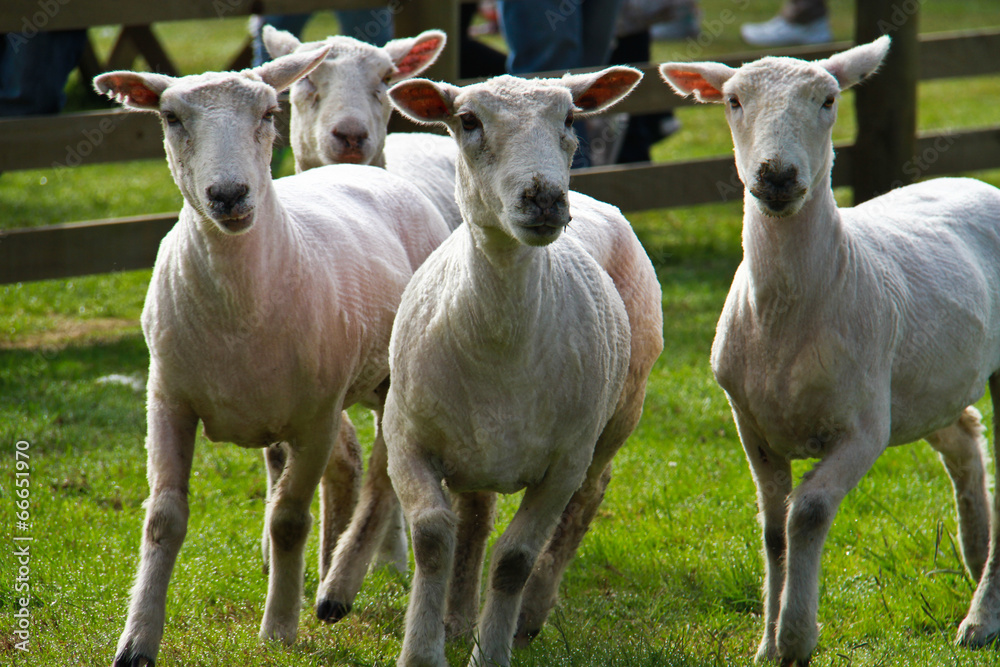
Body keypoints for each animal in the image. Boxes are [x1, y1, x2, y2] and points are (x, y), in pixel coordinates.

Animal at [94, 48, 451, 666]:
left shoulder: (314, 417)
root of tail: (368, 169)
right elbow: (163, 520)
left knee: (384, 479)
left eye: (268, 112)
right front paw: (136, 640)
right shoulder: (167, 401)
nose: (229, 195)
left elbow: (288, 519)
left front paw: (280, 628)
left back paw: (338, 587)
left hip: (394, 383)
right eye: (170, 117)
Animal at [384, 67, 664, 667]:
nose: (544, 197)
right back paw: (457, 617)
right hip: (473, 448)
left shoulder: (562, 465)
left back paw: (529, 617)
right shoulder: (405, 439)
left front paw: (490, 651)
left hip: (618, 415)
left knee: (586, 500)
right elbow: (433, 537)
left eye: (571, 117)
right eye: (467, 120)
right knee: (474, 515)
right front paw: (423, 650)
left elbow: (514, 559)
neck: (501, 343)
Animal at [660, 36, 1000, 665]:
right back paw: (976, 555)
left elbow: (808, 512)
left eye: (828, 99)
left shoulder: (865, 427)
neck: (787, 318)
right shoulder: (750, 424)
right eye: (733, 100)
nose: (776, 174)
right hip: (924, 382)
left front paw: (797, 635)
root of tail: (976, 182)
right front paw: (767, 644)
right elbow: (772, 527)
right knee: (964, 434)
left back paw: (981, 617)